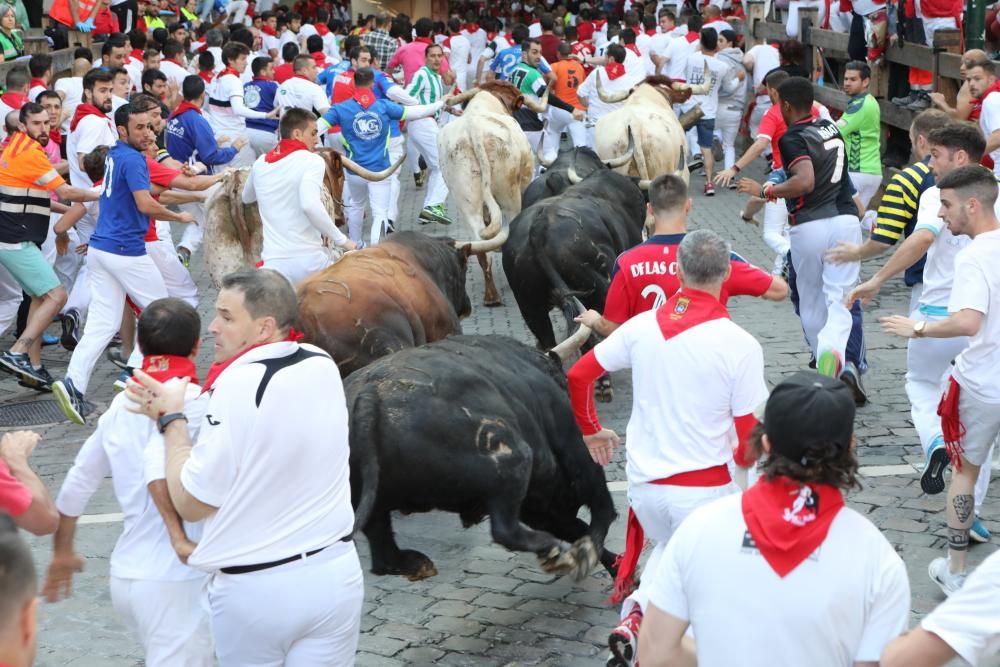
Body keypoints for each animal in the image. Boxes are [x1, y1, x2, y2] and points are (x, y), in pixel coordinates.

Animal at [348, 332, 620, 580]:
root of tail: (370, 392)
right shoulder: (574, 445)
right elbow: (600, 506)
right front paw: (590, 555)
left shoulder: (540, 505)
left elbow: (576, 525)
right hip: (514, 460)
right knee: (505, 530)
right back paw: (552, 550)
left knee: (382, 552)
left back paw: (415, 563)